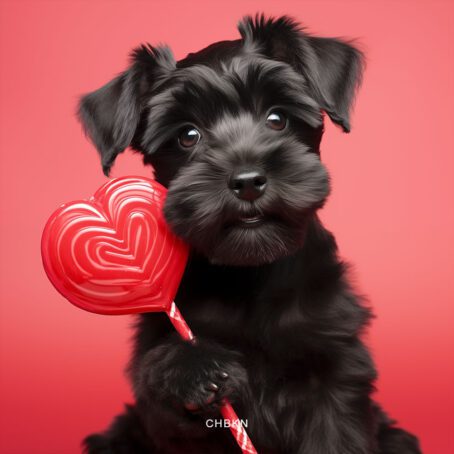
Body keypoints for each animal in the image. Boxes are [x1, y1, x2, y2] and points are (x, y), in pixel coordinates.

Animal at [79, 14, 422, 454]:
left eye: (277, 117)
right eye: (188, 135)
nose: (246, 181)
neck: (249, 277)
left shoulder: (335, 376)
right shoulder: (170, 413)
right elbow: (168, 375)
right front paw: (194, 367)